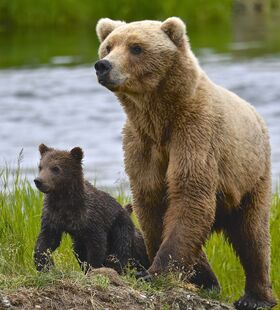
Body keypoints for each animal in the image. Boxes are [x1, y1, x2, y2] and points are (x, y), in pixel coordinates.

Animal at [95, 17, 276, 310]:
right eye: (108, 46)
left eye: (136, 47)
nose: (103, 65)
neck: (160, 117)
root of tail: (256, 114)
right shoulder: (141, 145)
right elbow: (153, 201)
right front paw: (182, 273)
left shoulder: (196, 134)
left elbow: (190, 196)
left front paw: (155, 272)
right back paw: (208, 279)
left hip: (251, 175)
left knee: (252, 233)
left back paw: (255, 297)